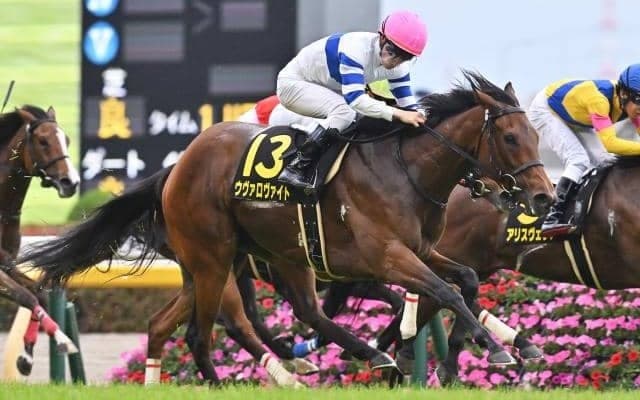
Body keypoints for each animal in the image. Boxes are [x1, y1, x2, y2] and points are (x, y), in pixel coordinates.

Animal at [0, 105, 80, 375]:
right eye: (43, 141)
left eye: (67, 140)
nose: (70, 182)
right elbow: (27, 297)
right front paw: (65, 341)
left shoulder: (7, 264)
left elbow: (38, 294)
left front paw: (26, 357)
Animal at [20, 71, 555, 386]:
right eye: (510, 137)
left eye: (535, 134)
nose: (545, 197)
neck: (406, 169)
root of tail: (176, 167)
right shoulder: (386, 256)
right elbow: (444, 293)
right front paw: (491, 351)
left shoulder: (418, 250)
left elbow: (463, 281)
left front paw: (463, 351)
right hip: (217, 259)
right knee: (208, 330)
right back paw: (255, 373)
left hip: (269, 257)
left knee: (197, 321)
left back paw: (347, 356)